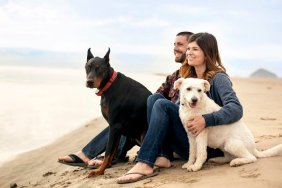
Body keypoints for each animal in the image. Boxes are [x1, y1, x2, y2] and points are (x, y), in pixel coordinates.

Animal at [86, 47, 152, 177]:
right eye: (88, 67)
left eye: (99, 68)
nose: (89, 82)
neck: (109, 85)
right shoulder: (117, 128)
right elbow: (113, 150)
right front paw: (108, 165)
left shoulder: (114, 126)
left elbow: (108, 151)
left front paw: (100, 170)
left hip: (144, 133)